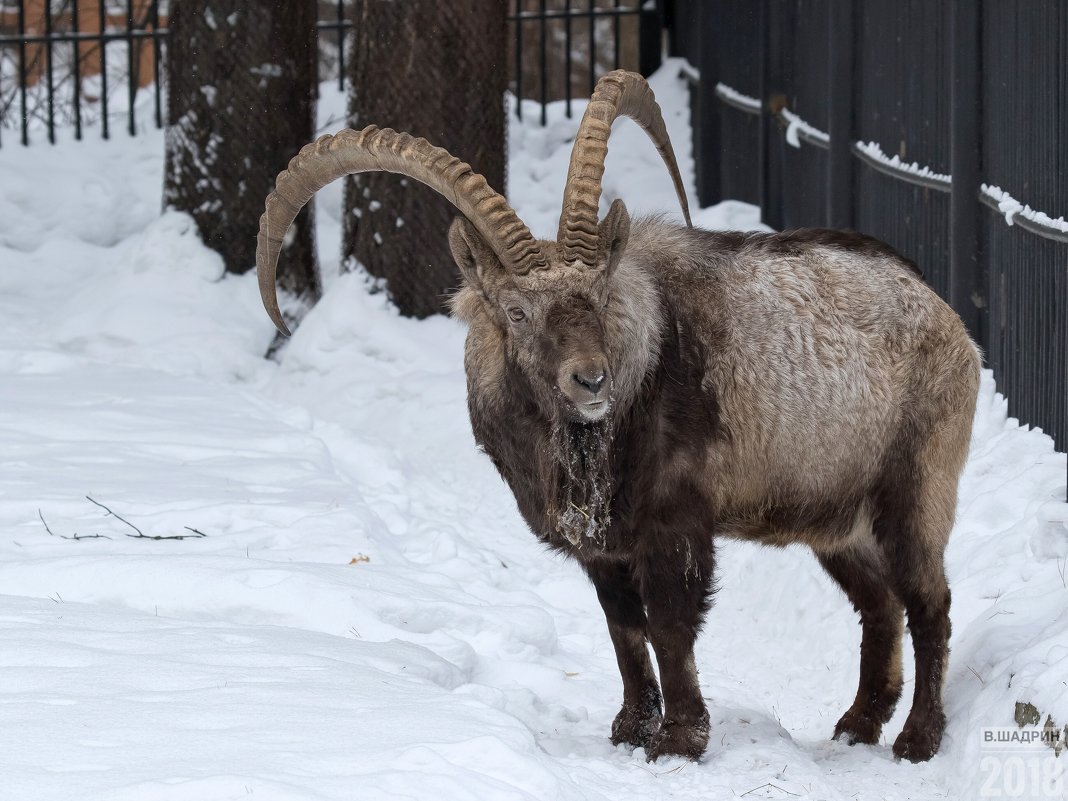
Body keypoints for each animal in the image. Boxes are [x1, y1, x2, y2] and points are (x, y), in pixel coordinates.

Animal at [254, 70, 978, 764]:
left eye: (600, 296)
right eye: (515, 311)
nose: (591, 379)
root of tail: (947, 319)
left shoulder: (674, 522)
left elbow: (671, 627)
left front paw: (680, 739)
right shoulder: (605, 547)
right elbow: (624, 629)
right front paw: (631, 728)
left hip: (915, 490)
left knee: (930, 604)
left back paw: (918, 738)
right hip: (838, 520)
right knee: (879, 605)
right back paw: (858, 724)